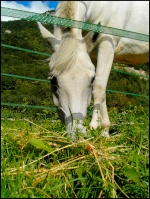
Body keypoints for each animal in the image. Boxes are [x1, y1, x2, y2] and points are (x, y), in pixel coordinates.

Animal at [37, 0, 149, 139]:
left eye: (90, 80)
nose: (77, 133)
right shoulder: (92, 53)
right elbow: (102, 91)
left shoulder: (107, 43)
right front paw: (105, 131)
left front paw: (95, 125)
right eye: (53, 81)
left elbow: (99, 86)